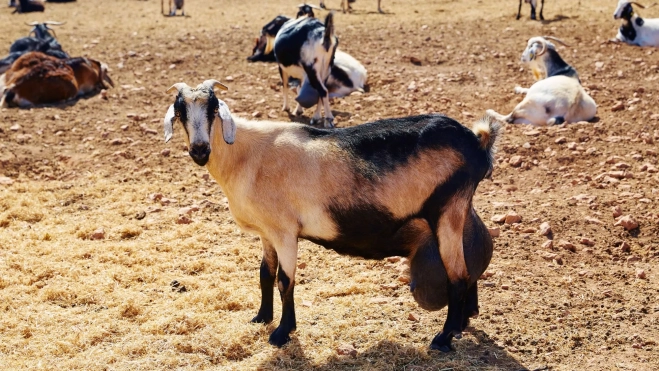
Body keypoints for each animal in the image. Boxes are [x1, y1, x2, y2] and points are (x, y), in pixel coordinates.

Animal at [162, 80, 498, 354]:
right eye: (180, 110)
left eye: (213, 108)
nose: (200, 150)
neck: (247, 156)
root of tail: (477, 141)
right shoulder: (267, 233)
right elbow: (264, 274)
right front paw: (261, 318)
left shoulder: (285, 232)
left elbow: (285, 280)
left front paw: (282, 333)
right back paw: (464, 321)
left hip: (447, 209)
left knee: (458, 275)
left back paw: (443, 338)